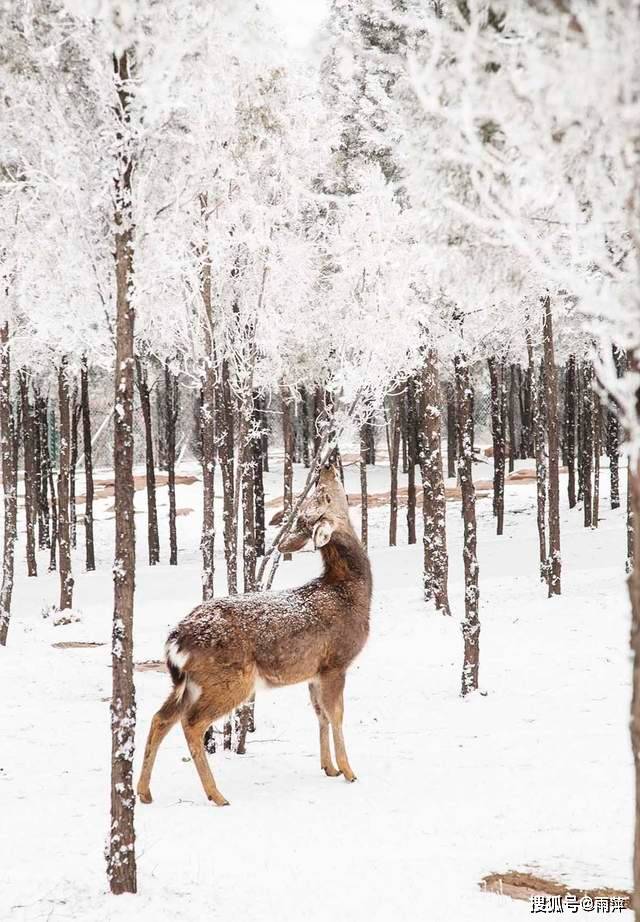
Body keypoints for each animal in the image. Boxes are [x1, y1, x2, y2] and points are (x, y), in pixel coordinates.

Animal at [138, 464, 372, 800]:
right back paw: (216, 795)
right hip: (230, 679)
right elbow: (336, 714)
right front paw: (349, 771)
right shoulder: (335, 662)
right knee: (192, 722)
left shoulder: (313, 671)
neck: (351, 592)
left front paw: (329, 768)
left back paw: (144, 791)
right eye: (323, 495)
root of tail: (175, 640)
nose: (325, 468)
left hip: (188, 682)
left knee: (161, 717)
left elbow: (320, 714)